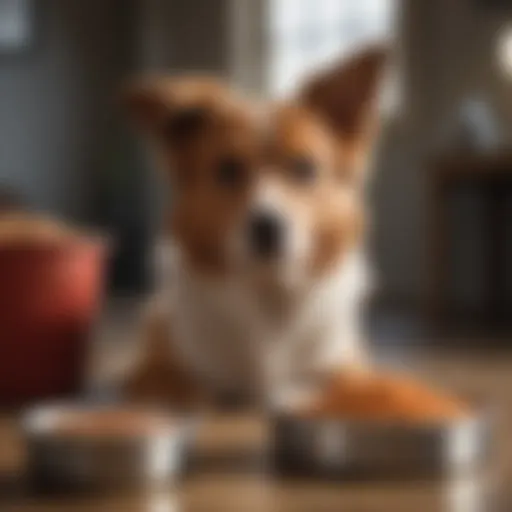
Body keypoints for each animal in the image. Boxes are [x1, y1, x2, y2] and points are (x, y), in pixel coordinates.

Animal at [122, 46, 386, 410]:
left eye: (304, 167)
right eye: (228, 169)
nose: (267, 227)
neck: (268, 291)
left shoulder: (347, 366)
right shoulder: (150, 374)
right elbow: (187, 388)